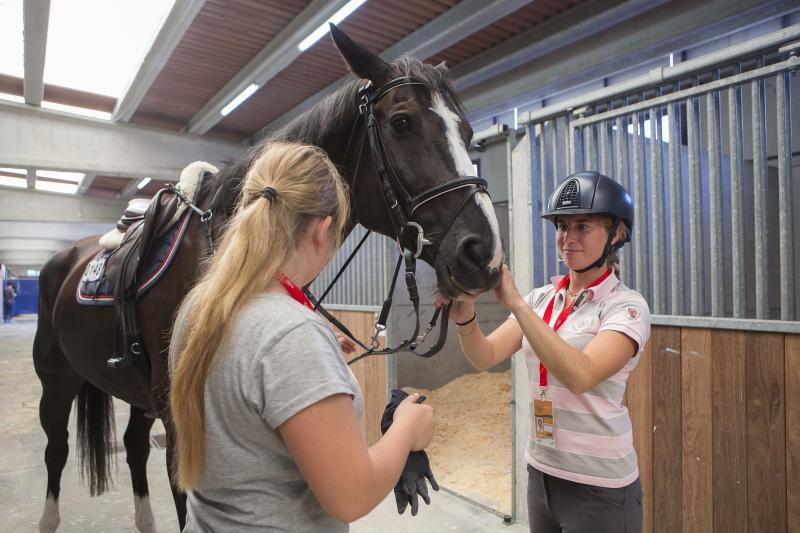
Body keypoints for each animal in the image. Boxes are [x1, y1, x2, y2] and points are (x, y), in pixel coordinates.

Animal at [34, 26, 504, 532]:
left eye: (467, 132)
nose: (484, 254)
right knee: (56, 451)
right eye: (401, 122)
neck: (225, 245)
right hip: (56, 382)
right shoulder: (180, 425)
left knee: (134, 446)